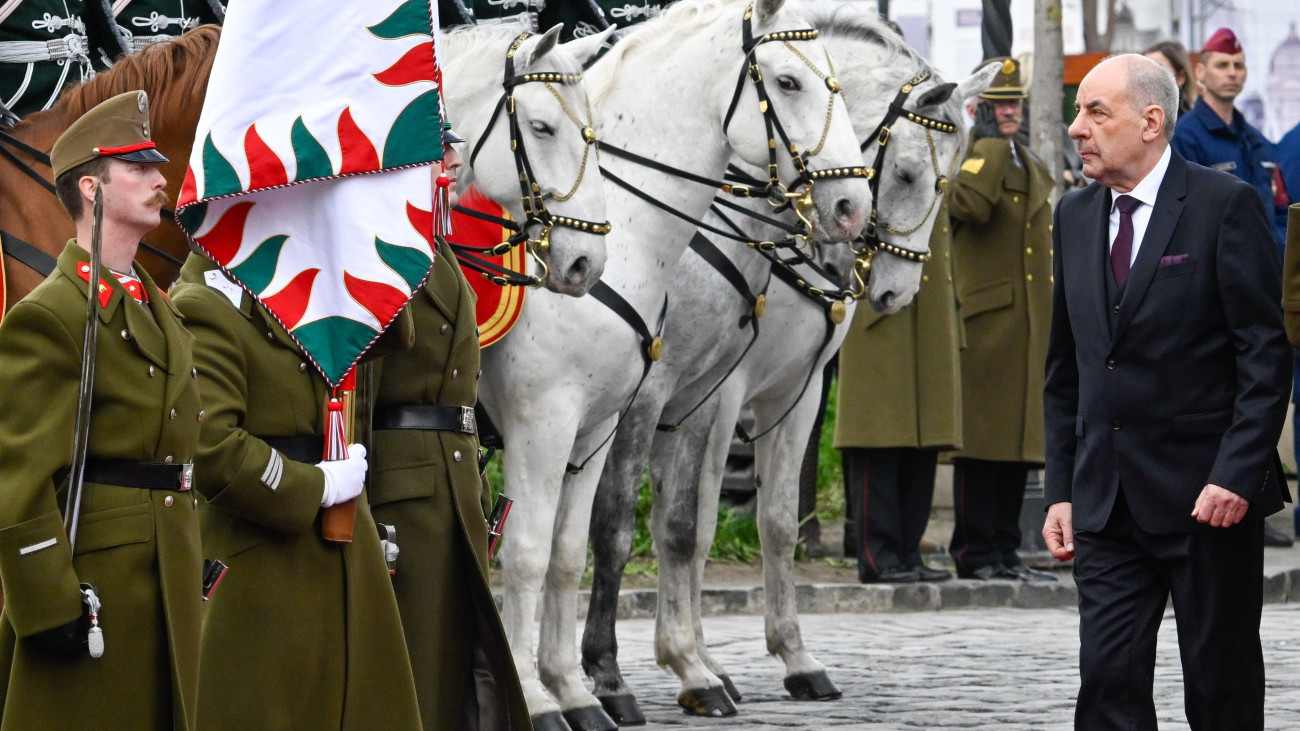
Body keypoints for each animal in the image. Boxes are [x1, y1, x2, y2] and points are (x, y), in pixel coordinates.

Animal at [478, 2, 873, 723]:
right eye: (788, 82)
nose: (851, 210)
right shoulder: (604, 409)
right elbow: (591, 536)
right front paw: (592, 681)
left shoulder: (680, 406)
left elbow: (677, 529)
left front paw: (688, 668)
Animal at [579, 5, 993, 717]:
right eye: (909, 175)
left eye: (953, 177)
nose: (895, 294)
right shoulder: (696, 393)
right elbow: (687, 523)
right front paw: (683, 665)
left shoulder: (793, 394)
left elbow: (768, 522)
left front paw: (787, 657)